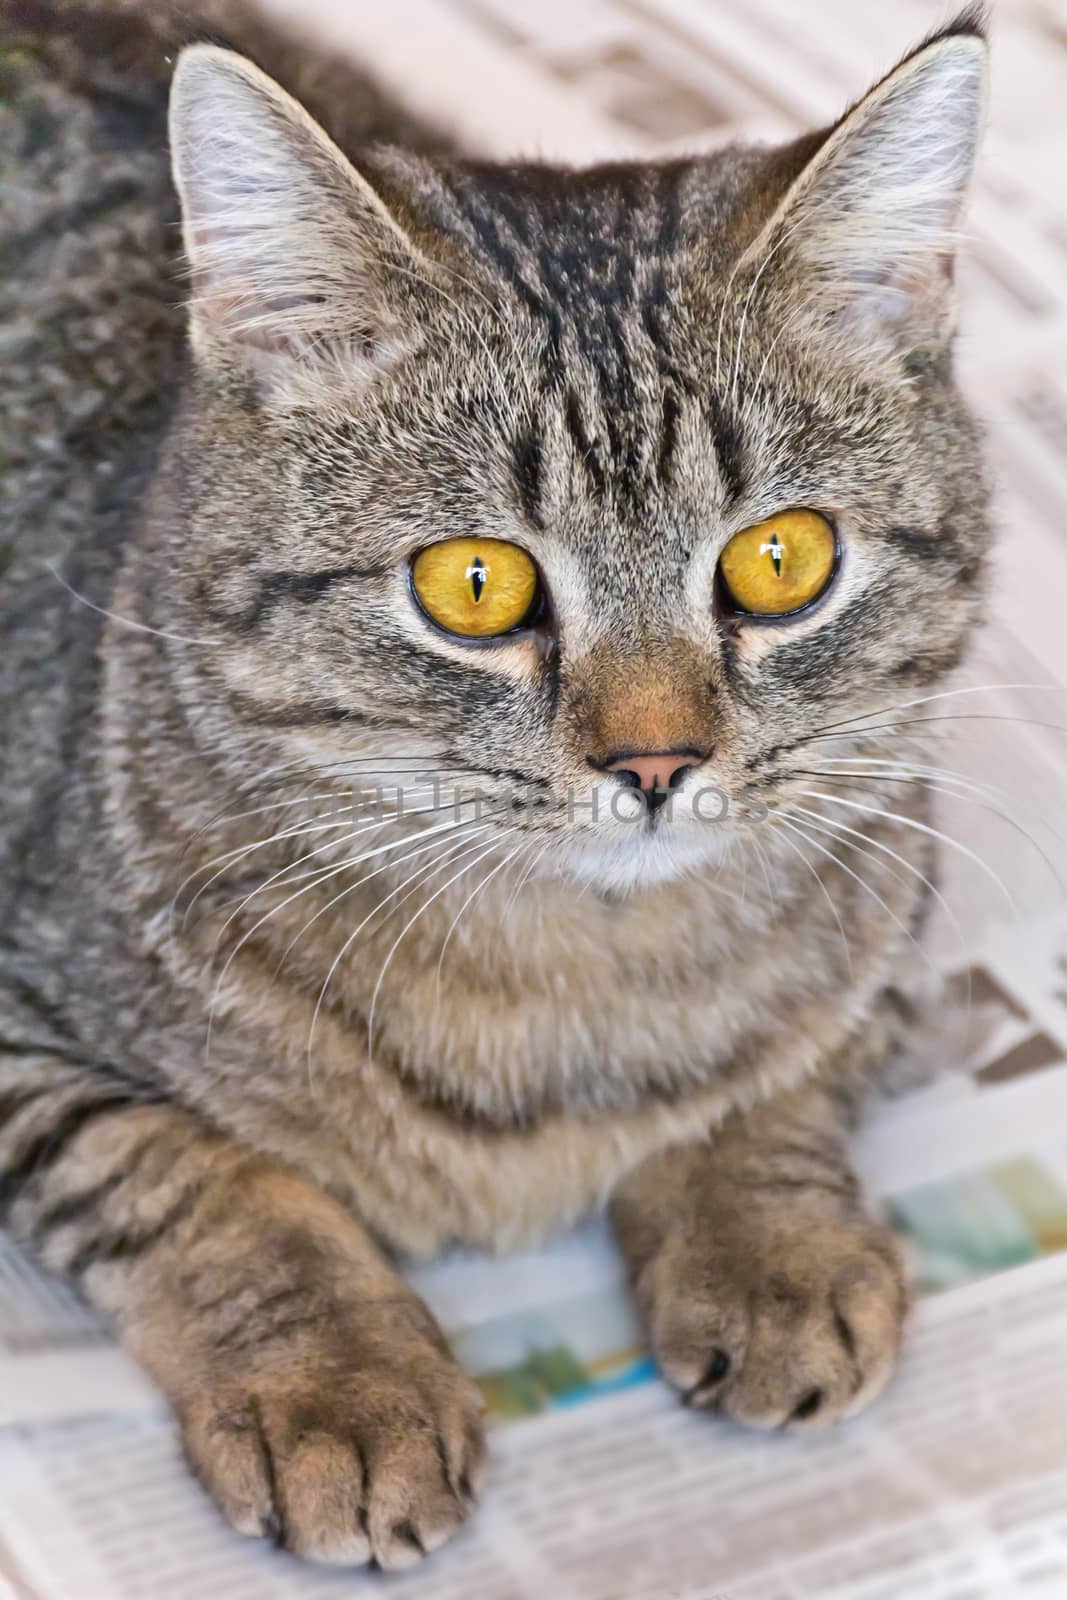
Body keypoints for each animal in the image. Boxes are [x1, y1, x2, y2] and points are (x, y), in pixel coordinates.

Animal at [4, 0, 991, 1574]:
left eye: (779, 560)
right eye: (474, 584)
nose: (655, 762)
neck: (572, 976)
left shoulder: (891, 894)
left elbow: (780, 1074)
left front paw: (770, 1243)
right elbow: (191, 1176)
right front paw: (341, 1382)